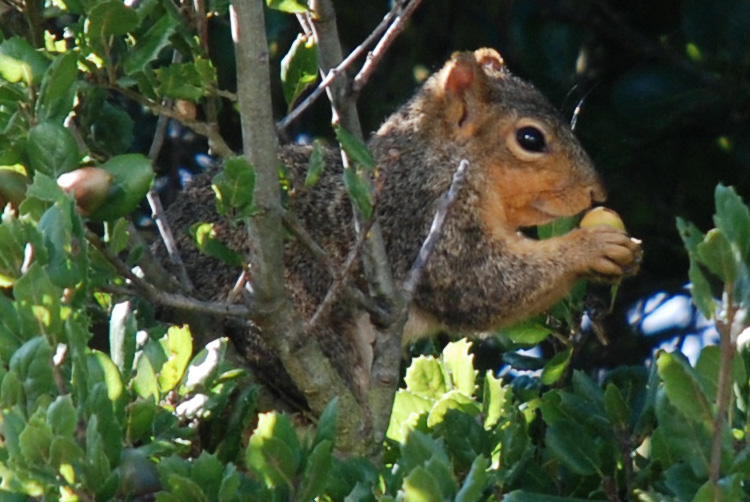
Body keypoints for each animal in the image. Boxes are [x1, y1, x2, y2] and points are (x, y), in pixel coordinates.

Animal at [162, 49, 644, 398]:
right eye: (530, 138)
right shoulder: (419, 216)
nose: (597, 193)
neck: (438, 159)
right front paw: (592, 248)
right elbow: (479, 284)